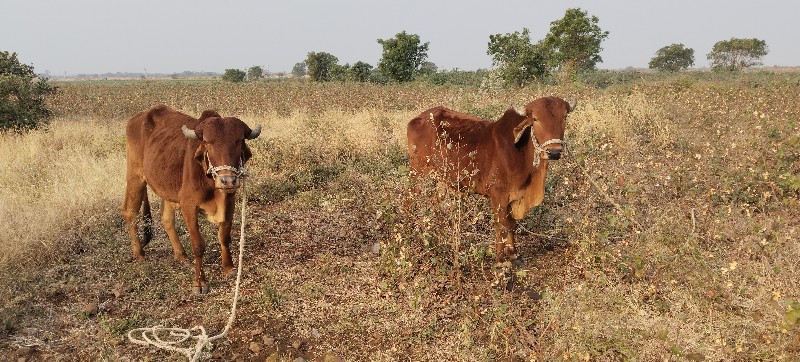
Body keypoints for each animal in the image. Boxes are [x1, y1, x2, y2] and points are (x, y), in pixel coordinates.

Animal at [121, 104, 262, 294]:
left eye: (239, 140)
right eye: (208, 142)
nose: (227, 180)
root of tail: (138, 117)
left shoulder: (230, 200)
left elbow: (224, 236)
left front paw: (229, 268)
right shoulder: (188, 205)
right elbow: (198, 245)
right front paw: (199, 282)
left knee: (166, 219)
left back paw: (181, 255)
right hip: (136, 177)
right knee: (130, 211)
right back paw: (139, 253)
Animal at [410, 96, 572, 264]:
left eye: (564, 117)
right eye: (535, 119)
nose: (554, 152)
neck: (520, 152)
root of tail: (417, 119)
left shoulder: (514, 197)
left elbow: (511, 225)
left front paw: (513, 254)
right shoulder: (497, 194)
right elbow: (501, 225)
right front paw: (500, 259)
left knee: (435, 202)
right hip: (417, 173)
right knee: (410, 198)